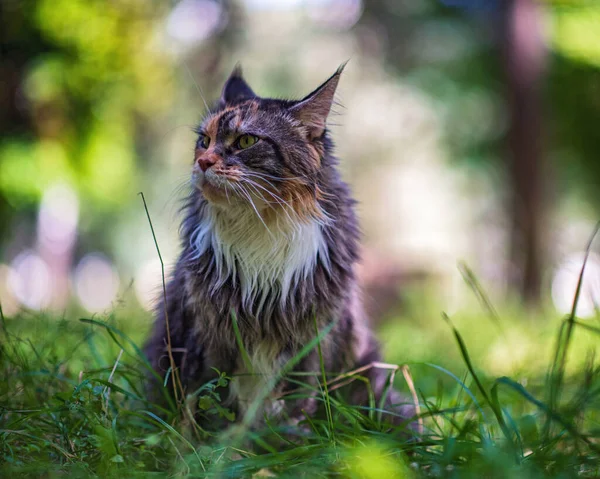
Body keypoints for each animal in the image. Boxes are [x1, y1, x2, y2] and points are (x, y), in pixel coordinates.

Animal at [144, 64, 412, 432]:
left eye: (246, 141)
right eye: (204, 141)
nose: (203, 162)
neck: (260, 225)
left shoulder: (313, 335)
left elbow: (296, 404)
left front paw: (284, 438)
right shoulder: (205, 329)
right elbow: (206, 402)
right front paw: (210, 442)